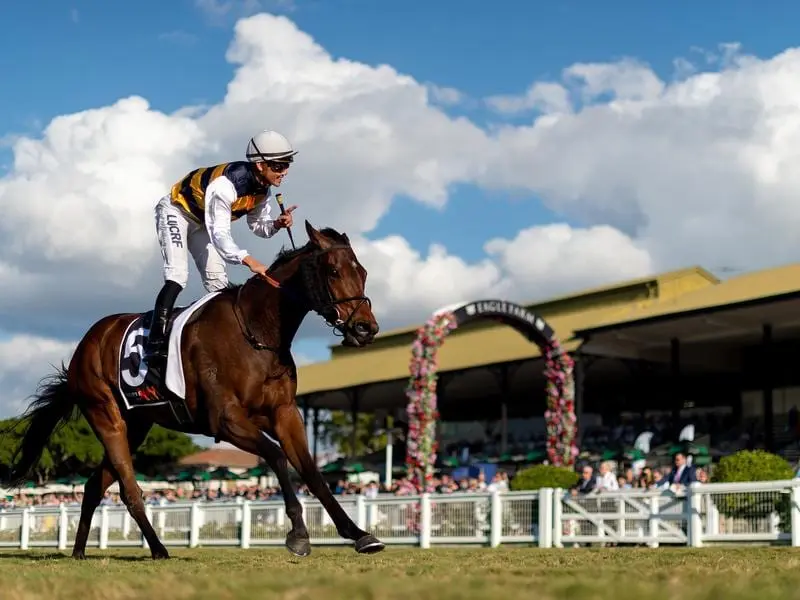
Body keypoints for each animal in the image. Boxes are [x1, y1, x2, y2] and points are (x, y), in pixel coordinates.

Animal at [0, 223, 388, 560]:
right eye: (333, 271)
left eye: (364, 272)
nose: (365, 328)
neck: (257, 333)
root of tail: (86, 344)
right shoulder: (226, 419)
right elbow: (278, 458)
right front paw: (298, 534)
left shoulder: (285, 413)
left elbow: (311, 473)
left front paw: (359, 534)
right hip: (105, 414)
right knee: (129, 488)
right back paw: (158, 548)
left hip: (136, 425)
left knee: (95, 484)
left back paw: (80, 551)